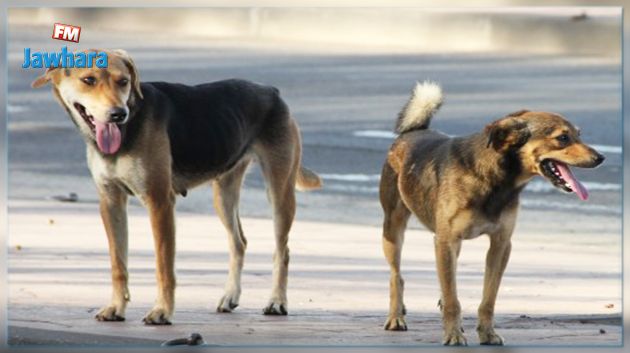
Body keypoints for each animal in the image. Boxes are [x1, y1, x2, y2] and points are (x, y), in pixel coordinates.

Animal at [32, 48, 324, 324]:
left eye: (123, 81)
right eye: (88, 80)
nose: (118, 114)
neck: (132, 123)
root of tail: (271, 91)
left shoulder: (159, 202)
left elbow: (164, 267)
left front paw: (162, 312)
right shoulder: (111, 202)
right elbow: (118, 264)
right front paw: (116, 308)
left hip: (279, 192)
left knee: (282, 251)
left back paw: (277, 302)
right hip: (224, 194)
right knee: (239, 242)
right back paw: (230, 296)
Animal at [380, 80, 608, 344]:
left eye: (579, 134)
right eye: (562, 138)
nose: (601, 157)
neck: (496, 180)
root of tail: (414, 131)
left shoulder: (500, 244)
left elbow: (487, 299)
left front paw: (487, 333)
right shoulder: (447, 240)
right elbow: (452, 299)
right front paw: (453, 334)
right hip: (394, 229)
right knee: (396, 276)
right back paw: (396, 317)